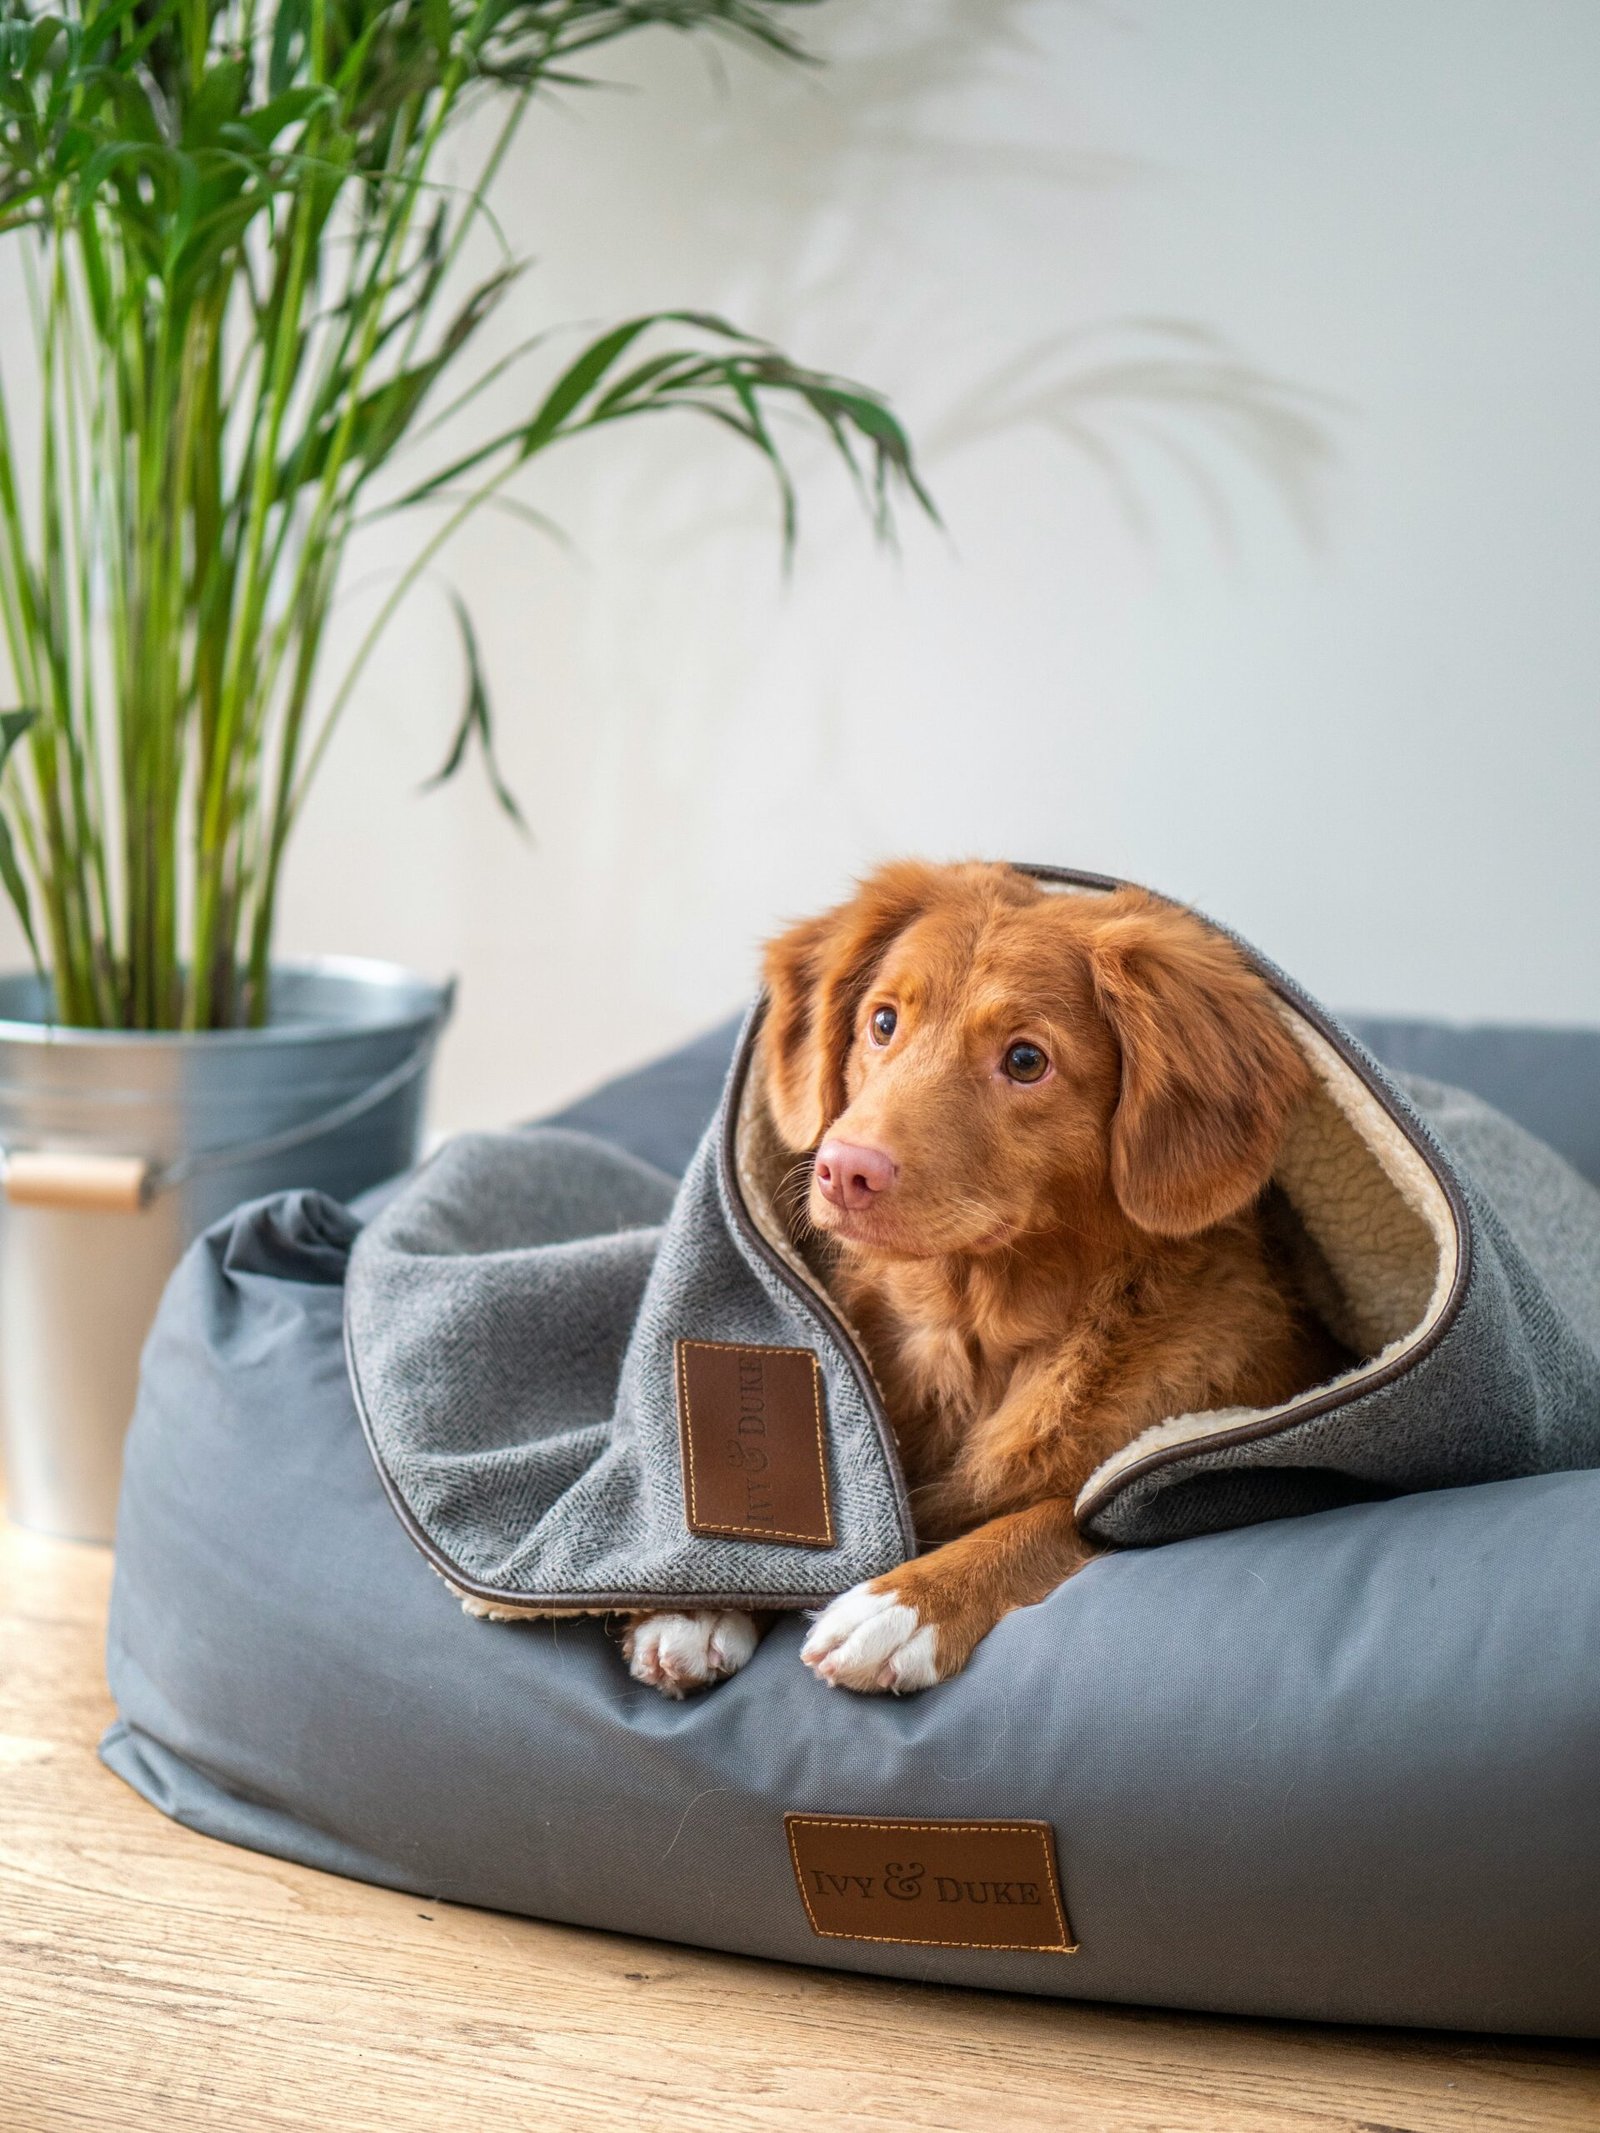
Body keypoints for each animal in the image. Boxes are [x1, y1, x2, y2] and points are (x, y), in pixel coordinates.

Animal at [622, 857, 1339, 1689]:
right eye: (883, 1021)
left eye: (1026, 1060)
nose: (844, 1169)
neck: (971, 1325)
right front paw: (698, 1600)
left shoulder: (1215, 1470)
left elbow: (1055, 1514)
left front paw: (909, 1602)